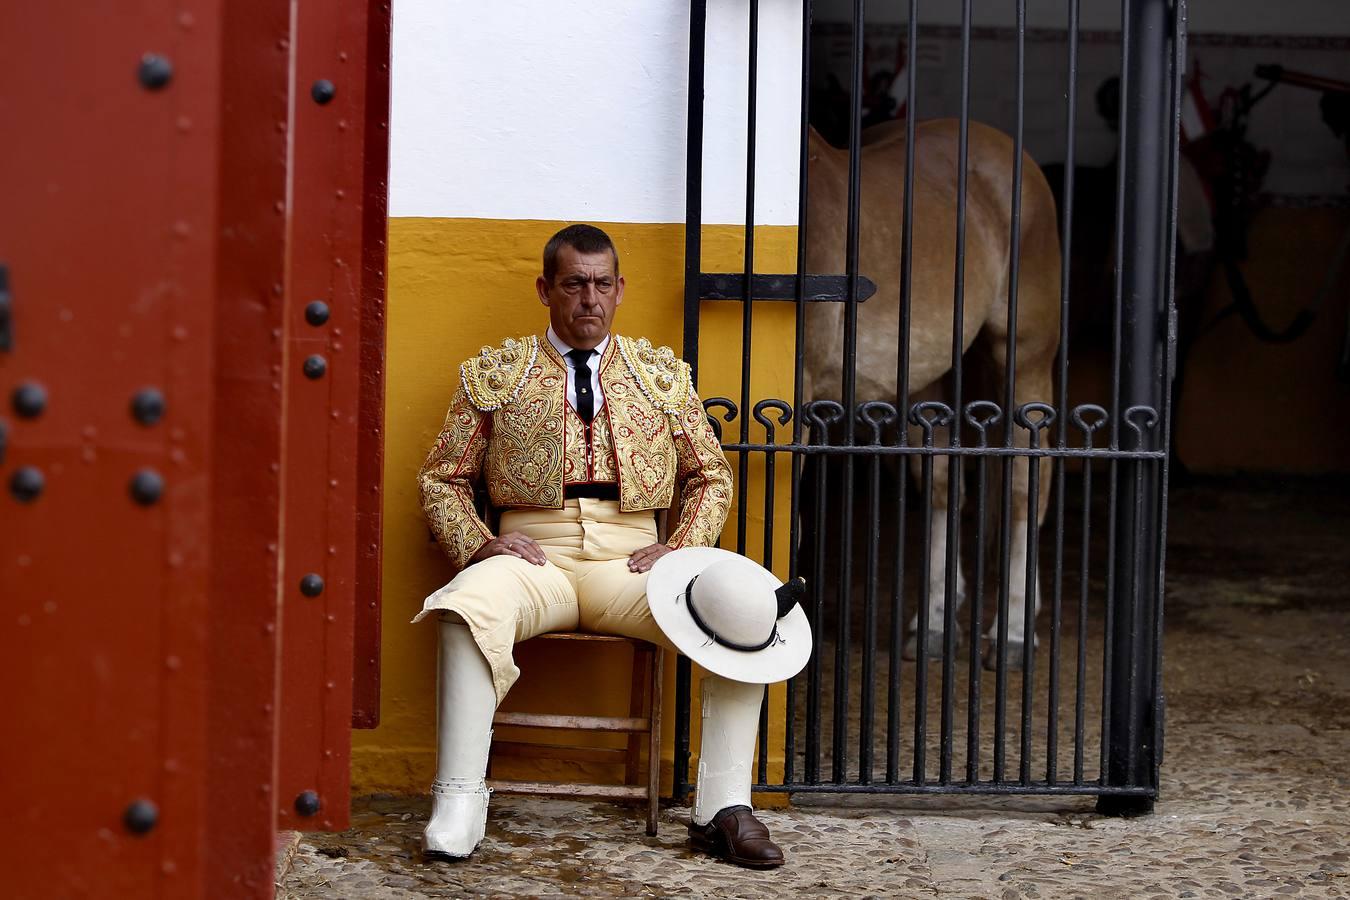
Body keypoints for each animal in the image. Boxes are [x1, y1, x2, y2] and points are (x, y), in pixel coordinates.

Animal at [799, 119, 1063, 669]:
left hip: (1025, 358)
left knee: (1026, 482)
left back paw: (1012, 632)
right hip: (924, 380)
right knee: (943, 481)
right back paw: (936, 623)